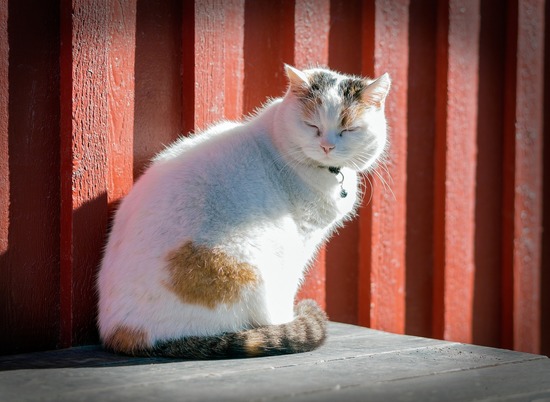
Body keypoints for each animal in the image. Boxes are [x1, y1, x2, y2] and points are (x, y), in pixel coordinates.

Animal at [97, 64, 390, 360]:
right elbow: (290, 288)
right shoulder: (301, 240)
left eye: (348, 129)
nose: (327, 146)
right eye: (312, 126)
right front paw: (289, 320)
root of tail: (124, 333)